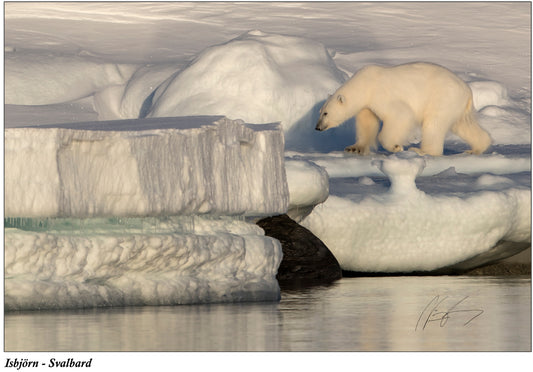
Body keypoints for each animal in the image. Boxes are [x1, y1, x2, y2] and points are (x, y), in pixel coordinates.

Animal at [314, 62, 492, 155]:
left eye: (326, 113)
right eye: (320, 112)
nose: (317, 127)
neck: (366, 84)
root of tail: (468, 91)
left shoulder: (381, 95)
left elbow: (400, 115)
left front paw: (396, 147)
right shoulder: (368, 105)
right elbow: (367, 123)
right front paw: (354, 148)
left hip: (443, 98)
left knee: (434, 124)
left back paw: (422, 150)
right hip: (456, 105)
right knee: (463, 125)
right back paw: (477, 148)